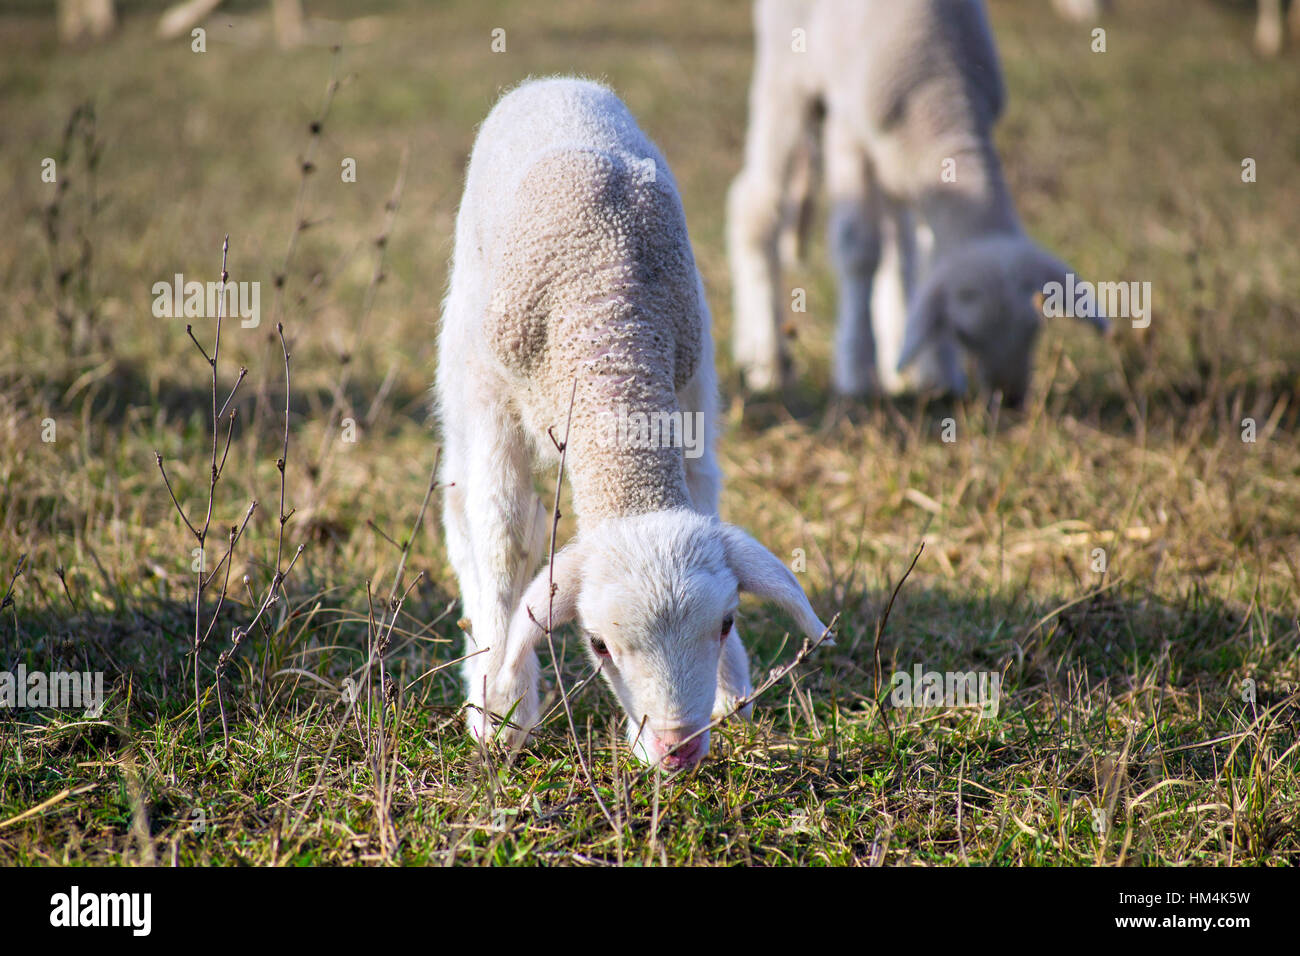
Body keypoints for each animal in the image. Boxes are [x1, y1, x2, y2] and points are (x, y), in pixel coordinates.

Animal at [431, 78, 826, 775]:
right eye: (597, 644)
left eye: (727, 622)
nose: (678, 750)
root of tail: (553, 82)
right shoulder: (495, 401)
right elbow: (503, 532)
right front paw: (501, 710)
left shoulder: (690, 384)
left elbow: (703, 489)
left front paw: (730, 692)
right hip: (463, 352)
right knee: (467, 505)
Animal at [728, 0, 1112, 403]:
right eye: (963, 334)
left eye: (1035, 328)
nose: (1008, 399)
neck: (940, 95)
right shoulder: (851, 133)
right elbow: (860, 252)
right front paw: (858, 374)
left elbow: (926, 261)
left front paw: (937, 373)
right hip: (787, 72)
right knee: (755, 205)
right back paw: (767, 361)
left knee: (899, 243)